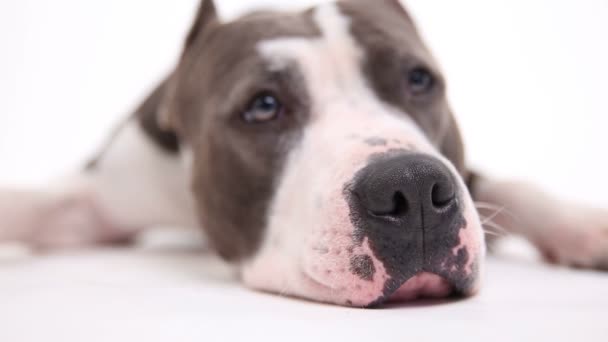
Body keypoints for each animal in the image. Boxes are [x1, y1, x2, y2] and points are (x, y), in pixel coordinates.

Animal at [0, 0, 604, 308]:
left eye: (419, 79)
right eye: (263, 106)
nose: (411, 186)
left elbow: (511, 188)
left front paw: (587, 226)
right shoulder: (102, 191)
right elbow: (36, 205)